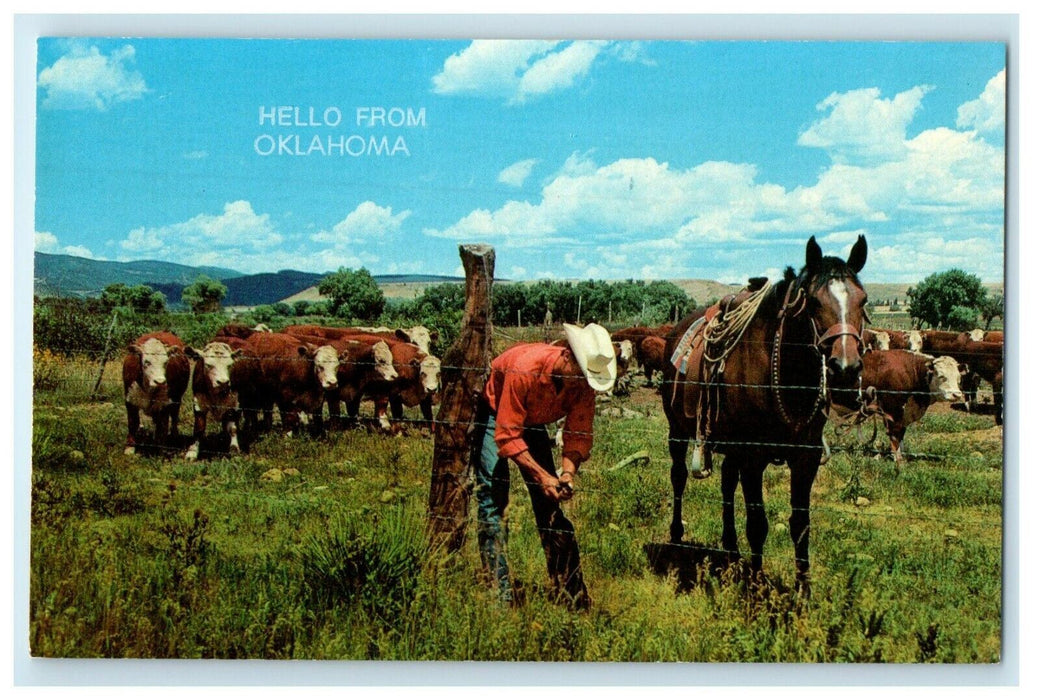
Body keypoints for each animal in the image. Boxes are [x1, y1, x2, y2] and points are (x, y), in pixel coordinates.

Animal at [665, 235, 869, 590]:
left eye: (863, 300)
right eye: (813, 302)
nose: (845, 369)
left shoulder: (805, 457)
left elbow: (800, 524)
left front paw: (803, 591)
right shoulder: (754, 457)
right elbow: (758, 523)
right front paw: (757, 586)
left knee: (726, 484)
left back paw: (731, 550)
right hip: (677, 431)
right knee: (678, 477)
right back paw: (677, 538)